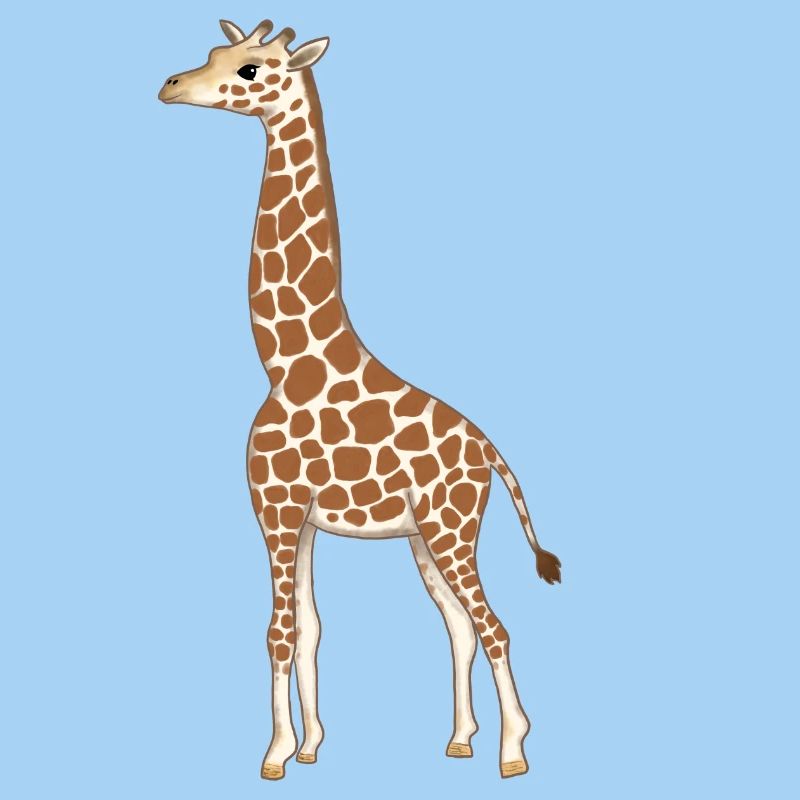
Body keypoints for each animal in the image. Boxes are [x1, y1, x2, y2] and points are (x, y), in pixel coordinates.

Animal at [159, 18, 561, 781]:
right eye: (216, 54)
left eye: (250, 69)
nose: (169, 85)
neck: (286, 361)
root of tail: (490, 452)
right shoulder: (302, 517)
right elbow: (310, 628)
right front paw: (312, 746)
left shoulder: (276, 505)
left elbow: (280, 630)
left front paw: (275, 755)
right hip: (426, 537)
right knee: (460, 625)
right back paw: (460, 740)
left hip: (449, 525)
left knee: (493, 624)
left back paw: (513, 752)